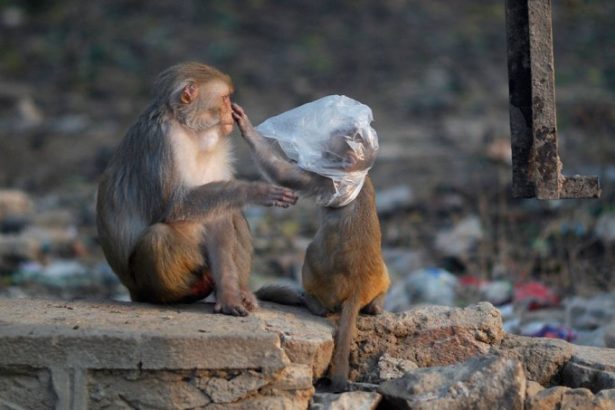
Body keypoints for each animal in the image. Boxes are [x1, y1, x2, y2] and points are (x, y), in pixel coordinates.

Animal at [96, 62, 298, 316]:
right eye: (224, 98)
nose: (230, 112)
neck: (190, 131)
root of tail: (132, 291)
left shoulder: (218, 146)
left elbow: (219, 218)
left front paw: (229, 295)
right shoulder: (163, 141)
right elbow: (174, 205)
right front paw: (254, 191)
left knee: (231, 213)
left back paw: (239, 291)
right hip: (143, 284)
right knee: (157, 237)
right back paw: (179, 294)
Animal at [231, 103, 390, 390]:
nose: (324, 146)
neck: (355, 175)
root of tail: (358, 288)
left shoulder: (323, 180)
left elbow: (284, 174)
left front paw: (246, 128)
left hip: (327, 283)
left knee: (310, 257)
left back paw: (313, 303)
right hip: (379, 278)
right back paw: (376, 306)